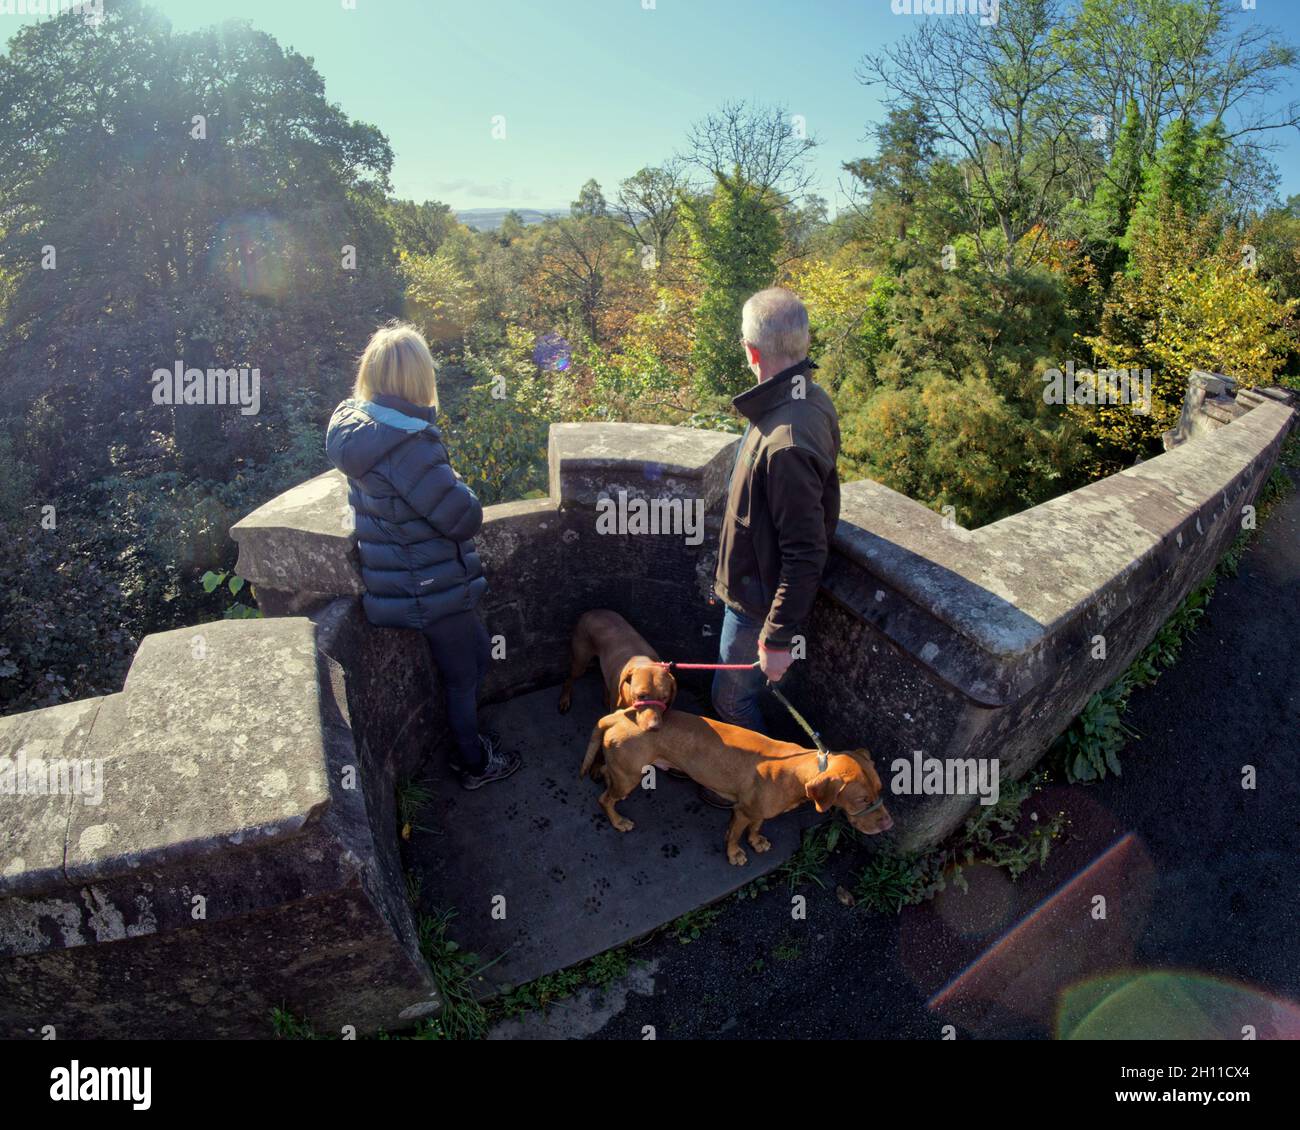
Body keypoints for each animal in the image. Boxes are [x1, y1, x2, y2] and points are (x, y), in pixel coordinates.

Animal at [582, 707, 894, 863]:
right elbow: (734, 835)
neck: (800, 770)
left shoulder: (757, 812)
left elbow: (756, 827)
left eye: (880, 790)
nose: (889, 824)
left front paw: (756, 841)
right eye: (863, 800)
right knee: (605, 799)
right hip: (630, 777)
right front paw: (734, 853)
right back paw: (618, 820)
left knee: (607, 776)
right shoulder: (741, 812)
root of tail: (618, 715)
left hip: (623, 770)